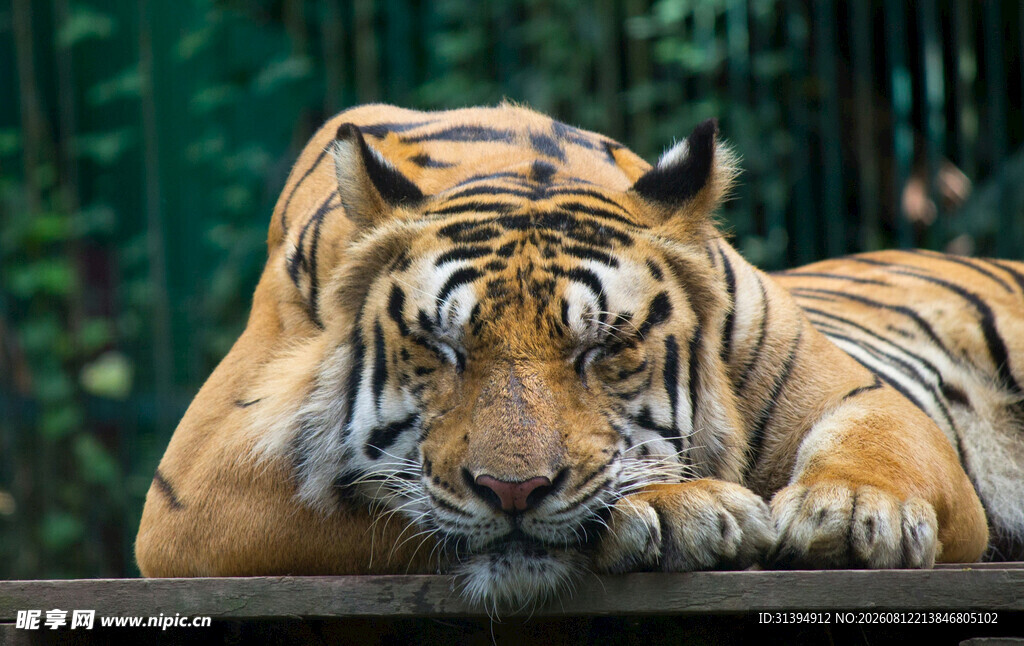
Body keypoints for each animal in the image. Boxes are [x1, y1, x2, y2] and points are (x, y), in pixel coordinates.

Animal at [135, 103, 1024, 611]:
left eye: (604, 347)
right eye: (444, 348)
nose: (513, 491)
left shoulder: (860, 392)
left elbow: (886, 443)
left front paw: (853, 512)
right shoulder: (195, 492)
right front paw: (678, 508)